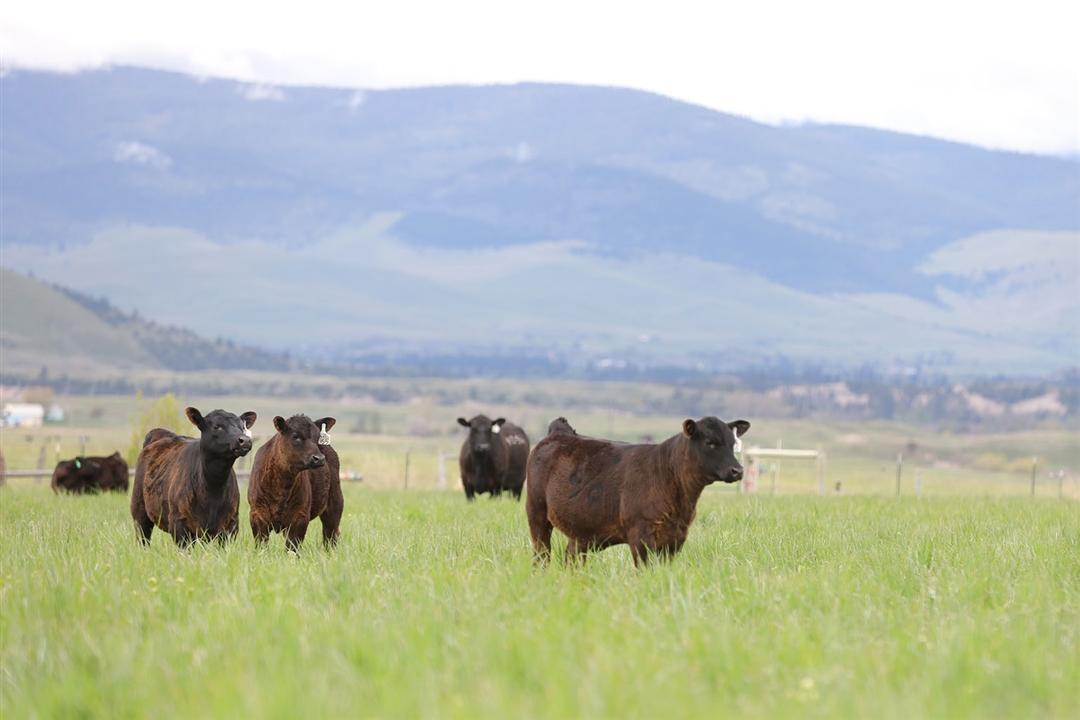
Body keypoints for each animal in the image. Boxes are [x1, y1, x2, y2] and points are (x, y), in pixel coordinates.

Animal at [129, 405, 255, 546]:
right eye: (217, 426)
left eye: (242, 427)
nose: (245, 440)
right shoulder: (179, 523)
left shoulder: (231, 525)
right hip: (139, 512)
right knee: (143, 538)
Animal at [247, 414, 341, 548]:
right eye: (295, 436)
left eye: (318, 438)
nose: (319, 458)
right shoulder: (257, 513)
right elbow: (262, 544)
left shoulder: (300, 516)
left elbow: (292, 546)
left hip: (335, 504)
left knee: (330, 536)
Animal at [524, 414, 751, 565]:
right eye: (710, 443)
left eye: (733, 443)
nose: (737, 470)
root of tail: (558, 434)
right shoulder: (640, 535)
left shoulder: (676, 537)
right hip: (536, 513)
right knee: (542, 554)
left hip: (581, 529)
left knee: (571, 557)